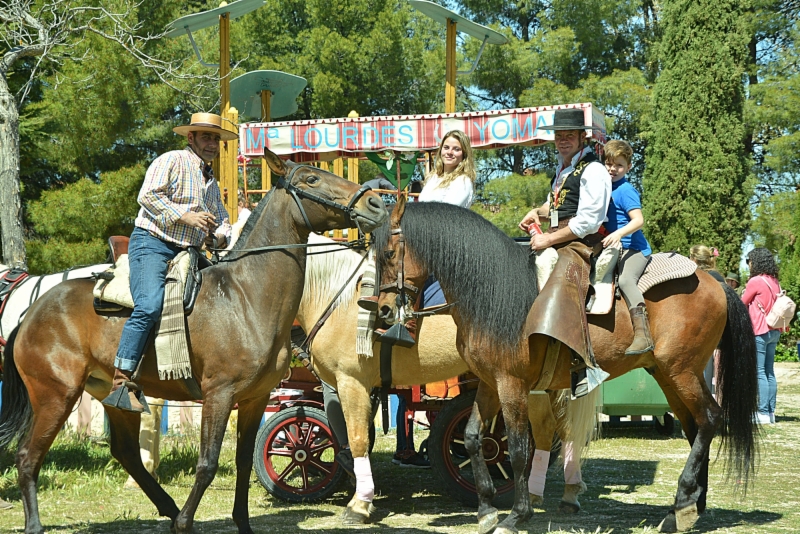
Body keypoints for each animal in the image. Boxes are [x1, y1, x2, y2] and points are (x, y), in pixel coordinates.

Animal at [0, 150, 388, 534]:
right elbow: (207, 463)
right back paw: (36, 524)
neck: (246, 296)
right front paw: (186, 523)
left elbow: (243, 462)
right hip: (55, 396)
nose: (376, 203)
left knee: (125, 453)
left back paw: (169, 508)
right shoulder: (219, 395)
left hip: (114, 398)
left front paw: (239, 522)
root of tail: (29, 314)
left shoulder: (256, 398)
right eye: (311, 179)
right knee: (27, 457)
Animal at [296, 234, 596, 524]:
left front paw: (357, 502)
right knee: (554, 430)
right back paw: (559, 493)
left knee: (543, 431)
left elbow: (355, 437)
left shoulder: (350, 382)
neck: (339, 301)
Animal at [374, 198, 756, 534]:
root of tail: (713, 281)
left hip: (681, 371)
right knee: (695, 426)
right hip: (668, 373)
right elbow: (471, 437)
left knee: (709, 418)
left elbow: (517, 449)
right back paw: (688, 508)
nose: (384, 310)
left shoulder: (512, 385)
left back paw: (684, 502)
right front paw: (485, 509)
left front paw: (517, 515)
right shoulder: (489, 382)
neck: (494, 292)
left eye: (389, 254)